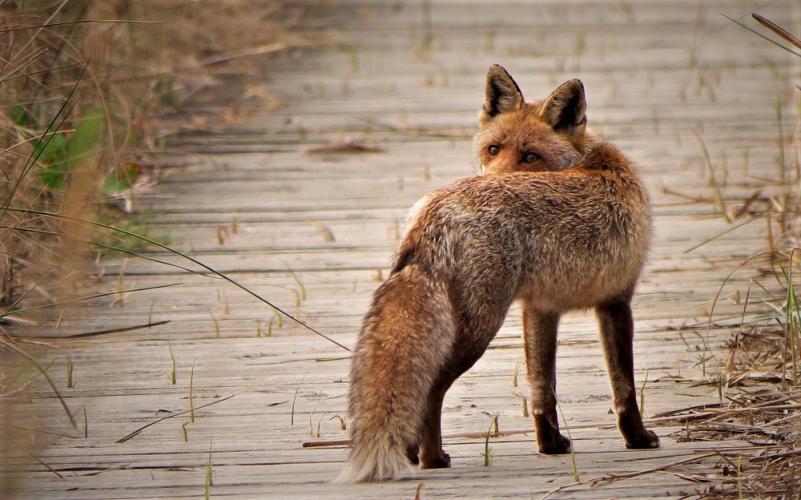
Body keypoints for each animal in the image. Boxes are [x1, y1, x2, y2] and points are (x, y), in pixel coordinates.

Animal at [338, 64, 656, 482]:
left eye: (530, 156)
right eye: (493, 149)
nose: (489, 177)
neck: (591, 160)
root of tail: (436, 210)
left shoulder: (540, 309)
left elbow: (542, 388)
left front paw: (550, 445)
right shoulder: (617, 301)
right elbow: (625, 387)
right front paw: (638, 438)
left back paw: (411, 453)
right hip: (480, 325)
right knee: (431, 390)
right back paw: (432, 458)